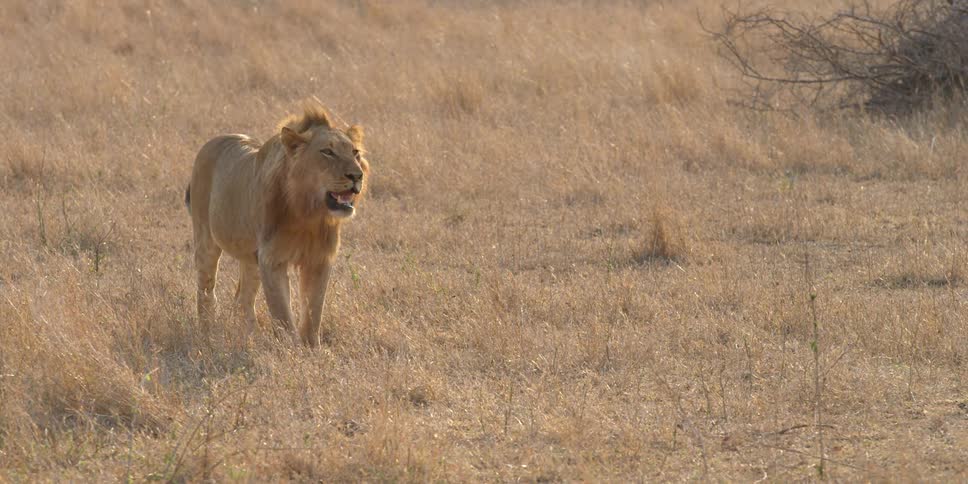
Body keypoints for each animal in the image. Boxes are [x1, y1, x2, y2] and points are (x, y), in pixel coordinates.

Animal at [185, 101, 369, 346]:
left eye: (355, 153)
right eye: (327, 152)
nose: (357, 176)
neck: (308, 214)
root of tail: (212, 141)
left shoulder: (319, 260)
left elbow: (313, 313)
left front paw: (312, 349)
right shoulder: (272, 259)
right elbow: (282, 314)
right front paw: (291, 349)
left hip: (251, 259)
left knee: (243, 299)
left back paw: (250, 337)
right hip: (207, 240)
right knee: (206, 289)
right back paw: (208, 332)